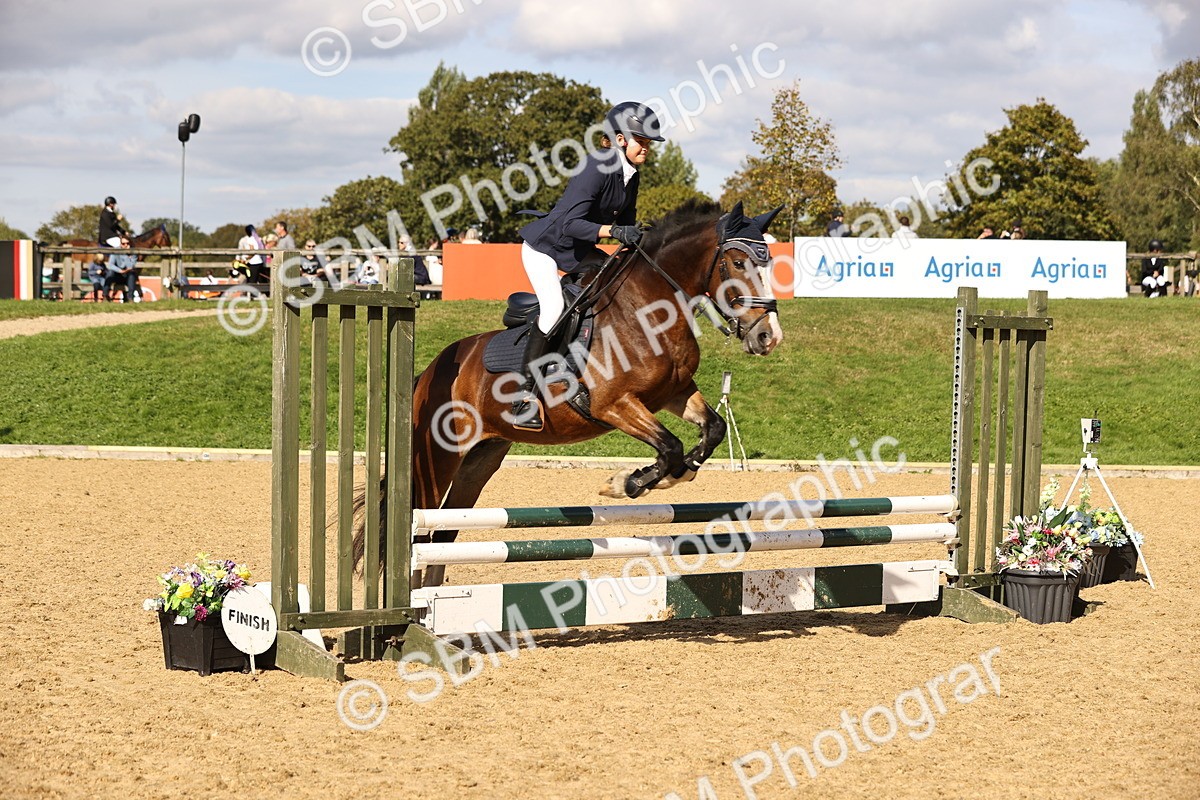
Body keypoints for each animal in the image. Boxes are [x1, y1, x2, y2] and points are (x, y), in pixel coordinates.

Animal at [352, 200, 785, 581]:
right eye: (738, 262)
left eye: (768, 263)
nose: (768, 337)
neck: (648, 309)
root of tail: (427, 374)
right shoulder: (614, 404)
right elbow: (670, 446)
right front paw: (626, 483)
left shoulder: (673, 394)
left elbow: (711, 430)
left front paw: (674, 476)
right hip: (438, 458)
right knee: (418, 532)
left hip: (479, 461)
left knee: (443, 535)